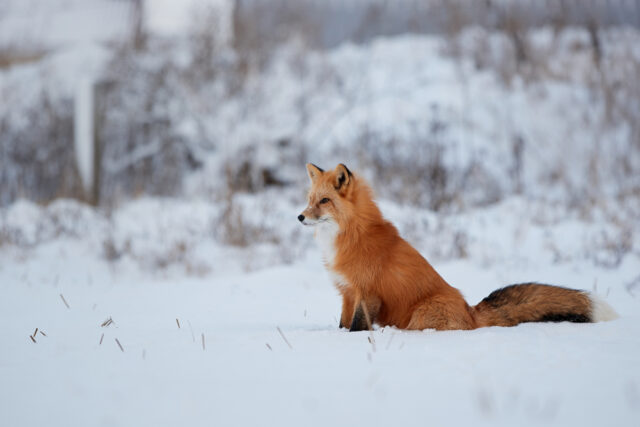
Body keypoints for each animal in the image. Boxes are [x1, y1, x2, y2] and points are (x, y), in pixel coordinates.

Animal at [298, 163, 618, 331]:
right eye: (310, 200)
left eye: (324, 201)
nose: (300, 217)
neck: (351, 236)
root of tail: (471, 311)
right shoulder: (347, 292)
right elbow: (343, 324)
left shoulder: (367, 292)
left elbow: (357, 327)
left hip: (421, 314)